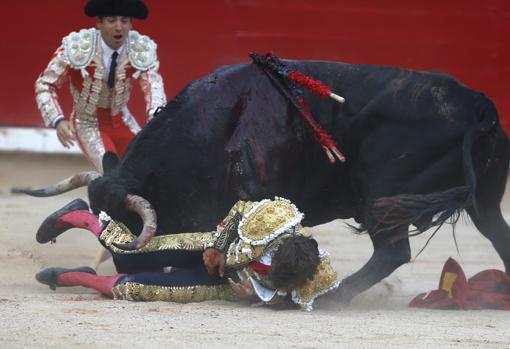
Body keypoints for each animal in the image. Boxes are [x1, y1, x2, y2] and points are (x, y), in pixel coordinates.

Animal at [26, 59, 510, 302]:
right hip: (484, 200)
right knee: (498, 234)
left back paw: (336, 299)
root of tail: (479, 105)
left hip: (385, 198)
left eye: (129, 221)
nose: (122, 265)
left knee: (392, 252)